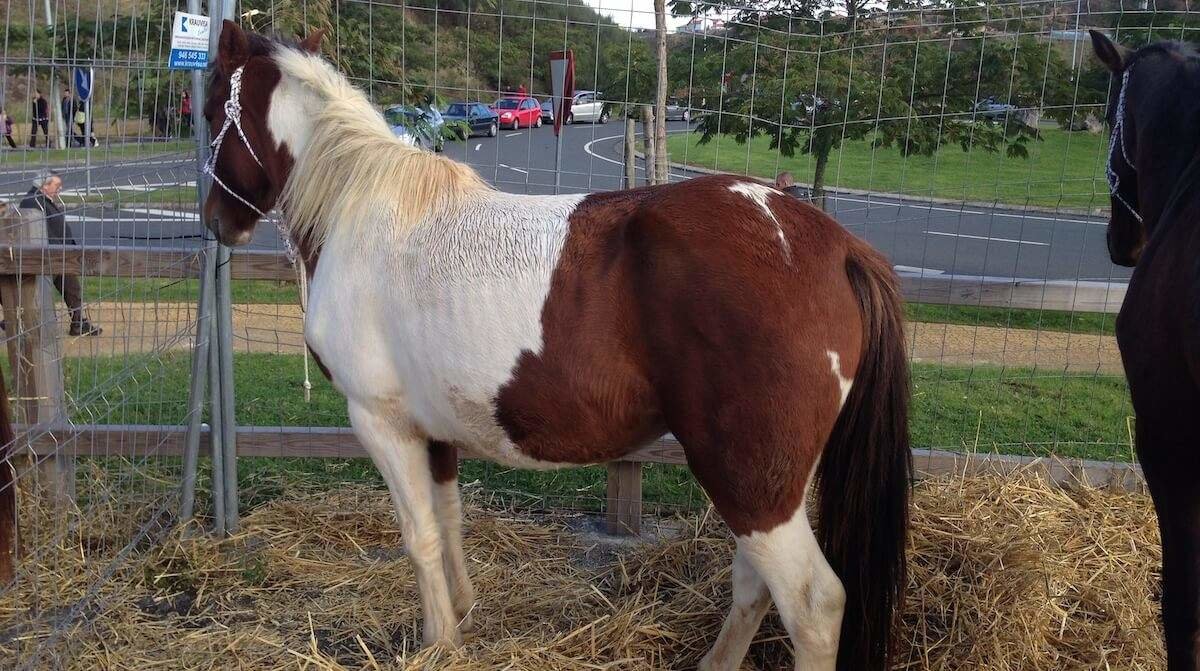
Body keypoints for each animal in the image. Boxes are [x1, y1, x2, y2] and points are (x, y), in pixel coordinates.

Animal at [201, 22, 907, 671]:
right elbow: (449, 520)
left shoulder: (381, 422)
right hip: (775, 481)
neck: (365, 212)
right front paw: (463, 615)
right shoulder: (436, 430)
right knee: (755, 584)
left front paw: (438, 642)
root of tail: (834, 243)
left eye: (208, 112)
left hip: (749, 480)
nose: (215, 222)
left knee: (812, 603)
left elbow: (420, 536)